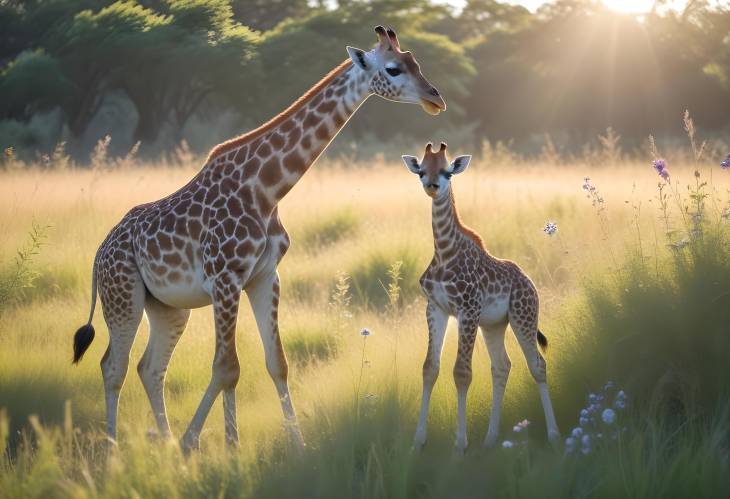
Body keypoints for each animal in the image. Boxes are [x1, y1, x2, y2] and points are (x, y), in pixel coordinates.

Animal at [71, 25, 444, 452]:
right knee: (112, 366)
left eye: (416, 62)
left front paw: (287, 446)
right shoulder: (225, 278)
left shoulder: (264, 276)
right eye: (393, 69)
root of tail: (99, 253)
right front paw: (198, 444)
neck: (267, 189)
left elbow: (274, 363)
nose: (436, 98)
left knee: (149, 368)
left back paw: (162, 444)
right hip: (122, 295)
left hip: (167, 306)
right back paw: (113, 451)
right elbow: (226, 368)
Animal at [404, 144, 556, 454]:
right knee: (502, 366)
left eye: (447, 171)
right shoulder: (435, 308)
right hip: (494, 325)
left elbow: (462, 373)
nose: (432, 186)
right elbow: (429, 368)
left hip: (524, 316)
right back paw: (490, 439)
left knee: (538, 365)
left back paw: (554, 435)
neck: (444, 252)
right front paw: (417, 442)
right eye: (422, 171)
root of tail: (530, 282)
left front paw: (460, 445)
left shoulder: (468, 309)